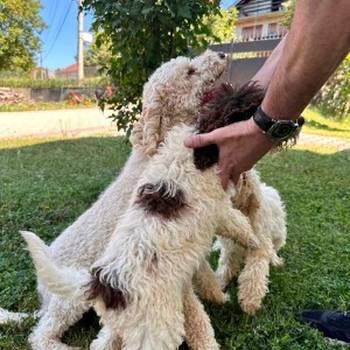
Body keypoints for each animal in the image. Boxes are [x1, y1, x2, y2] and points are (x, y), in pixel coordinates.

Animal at [1, 50, 228, 350]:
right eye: (190, 72)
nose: (222, 53)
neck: (157, 148)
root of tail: (42, 294)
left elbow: (204, 275)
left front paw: (219, 295)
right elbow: (194, 311)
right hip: (69, 300)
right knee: (40, 335)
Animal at [21, 123, 258, 350]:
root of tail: (101, 284)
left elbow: (205, 275)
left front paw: (219, 296)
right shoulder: (215, 207)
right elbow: (236, 223)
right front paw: (253, 240)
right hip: (126, 320)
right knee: (42, 335)